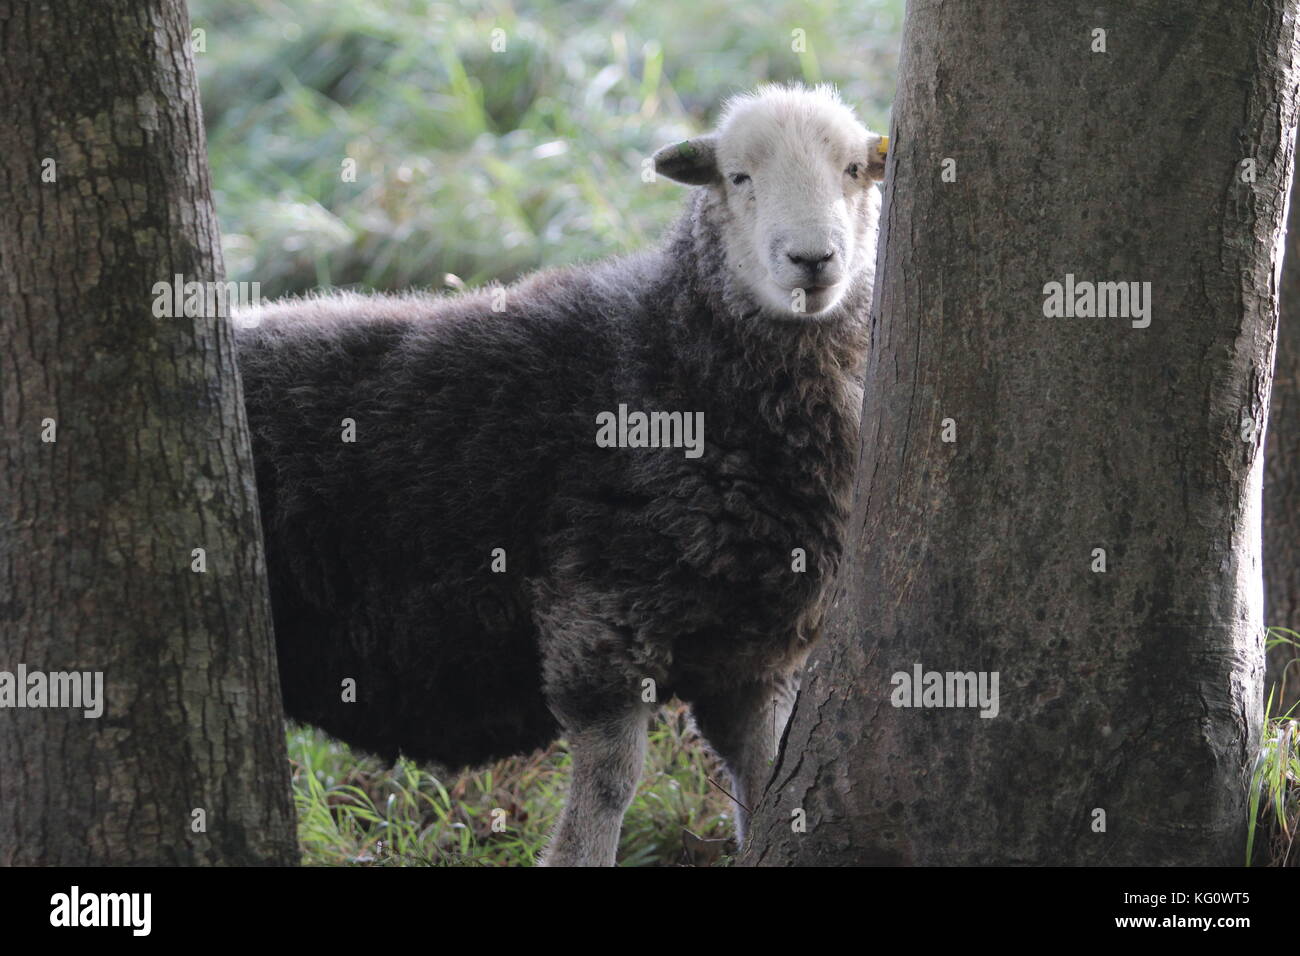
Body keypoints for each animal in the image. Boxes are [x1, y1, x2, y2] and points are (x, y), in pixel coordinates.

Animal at [233, 83, 889, 868]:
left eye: (853, 170)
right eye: (738, 177)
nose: (812, 259)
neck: (669, 353)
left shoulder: (754, 654)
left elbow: (766, 776)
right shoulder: (598, 619)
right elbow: (609, 786)